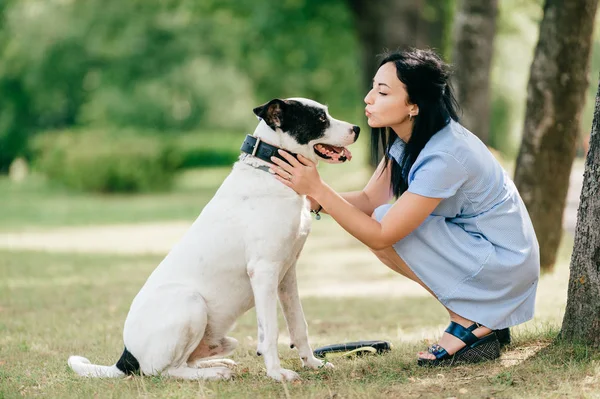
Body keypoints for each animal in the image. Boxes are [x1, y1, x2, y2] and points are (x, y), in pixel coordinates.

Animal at [70, 98, 360, 382]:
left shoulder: (287, 275)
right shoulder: (264, 271)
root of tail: (126, 357)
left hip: (221, 336)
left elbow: (299, 325)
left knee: (187, 360)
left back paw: (217, 364)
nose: (357, 128)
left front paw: (312, 363)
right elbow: (270, 332)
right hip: (190, 303)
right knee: (165, 371)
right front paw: (277, 374)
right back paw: (215, 372)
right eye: (320, 119)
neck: (268, 170)